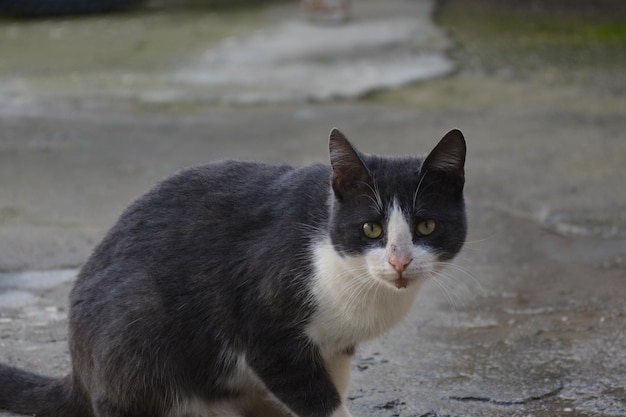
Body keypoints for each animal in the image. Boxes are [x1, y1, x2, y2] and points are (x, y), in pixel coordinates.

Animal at [0, 128, 464, 414]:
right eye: (371, 228)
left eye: (426, 226)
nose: (400, 261)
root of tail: (78, 373)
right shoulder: (265, 327)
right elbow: (317, 398)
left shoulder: (336, 349)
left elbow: (331, 385)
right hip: (137, 322)